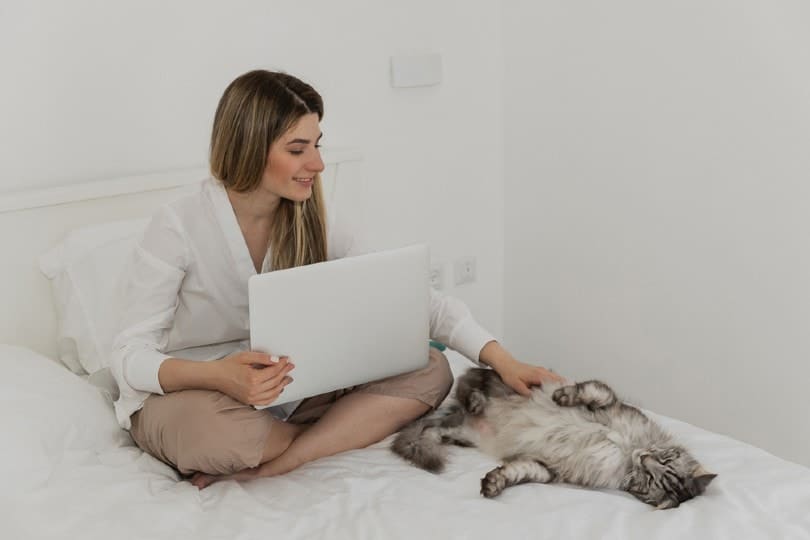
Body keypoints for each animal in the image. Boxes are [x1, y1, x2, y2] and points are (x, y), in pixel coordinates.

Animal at [392, 364, 712, 508]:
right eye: (664, 459)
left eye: (651, 480)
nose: (644, 459)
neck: (625, 451)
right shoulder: (610, 403)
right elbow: (593, 390)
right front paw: (562, 396)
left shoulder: (550, 469)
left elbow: (519, 472)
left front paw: (495, 483)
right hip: (496, 379)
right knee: (465, 382)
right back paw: (476, 401)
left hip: (461, 433)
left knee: (434, 430)